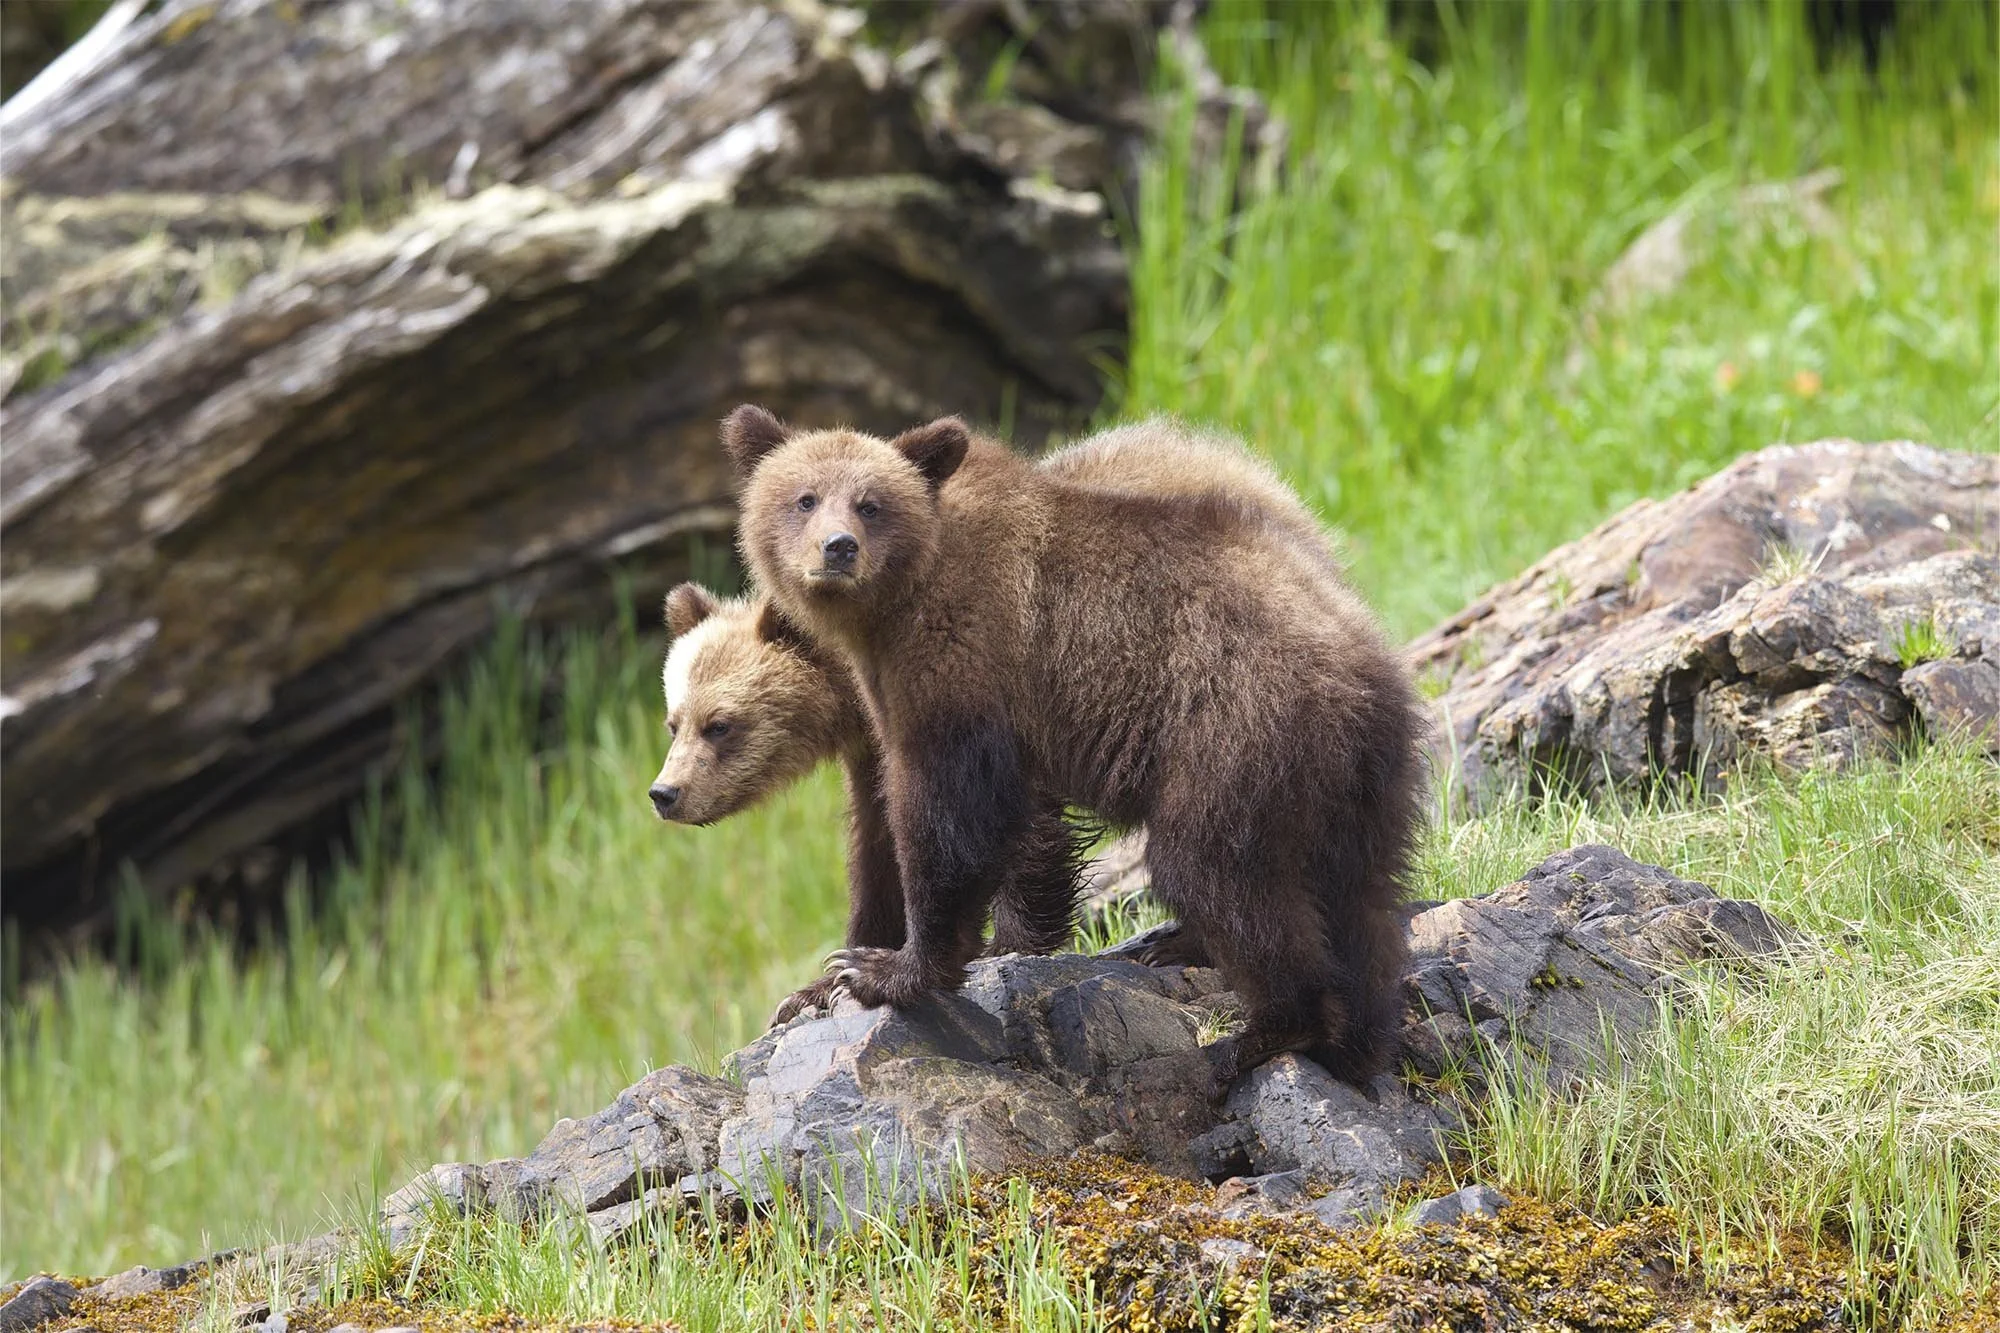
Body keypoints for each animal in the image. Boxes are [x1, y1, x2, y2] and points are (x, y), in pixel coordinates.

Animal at [650, 584, 1088, 1025]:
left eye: (719, 726)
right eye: (674, 725)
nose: (664, 793)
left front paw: (1008, 944)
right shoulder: (871, 753)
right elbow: (879, 845)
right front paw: (823, 983)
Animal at [725, 405, 1425, 1086]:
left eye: (870, 504)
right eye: (805, 498)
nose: (838, 548)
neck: (894, 603)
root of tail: (1366, 666)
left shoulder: (963, 661)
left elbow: (950, 819)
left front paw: (882, 970)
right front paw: (828, 978)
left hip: (1236, 731)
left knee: (1219, 873)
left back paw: (1257, 1034)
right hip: (1356, 781)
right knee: (1357, 899)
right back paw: (1356, 1042)